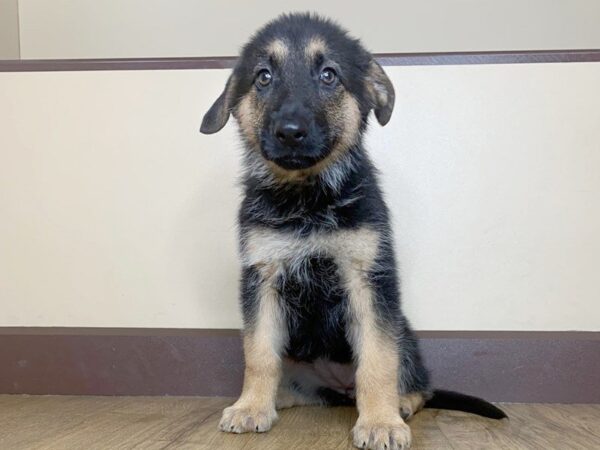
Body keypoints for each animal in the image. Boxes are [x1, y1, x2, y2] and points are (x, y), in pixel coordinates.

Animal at [199, 12, 504, 448]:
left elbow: (377, 359)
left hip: (404, 333)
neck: (307, 198)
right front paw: (251, 407)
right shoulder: (263, 278)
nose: (289, 131)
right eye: (263, 77)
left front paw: (380, 421)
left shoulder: (367, 280)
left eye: (329, 75)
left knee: (419, 386)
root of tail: (338, 389)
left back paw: (400, 405)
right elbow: (258, 354)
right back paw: (277, 399)